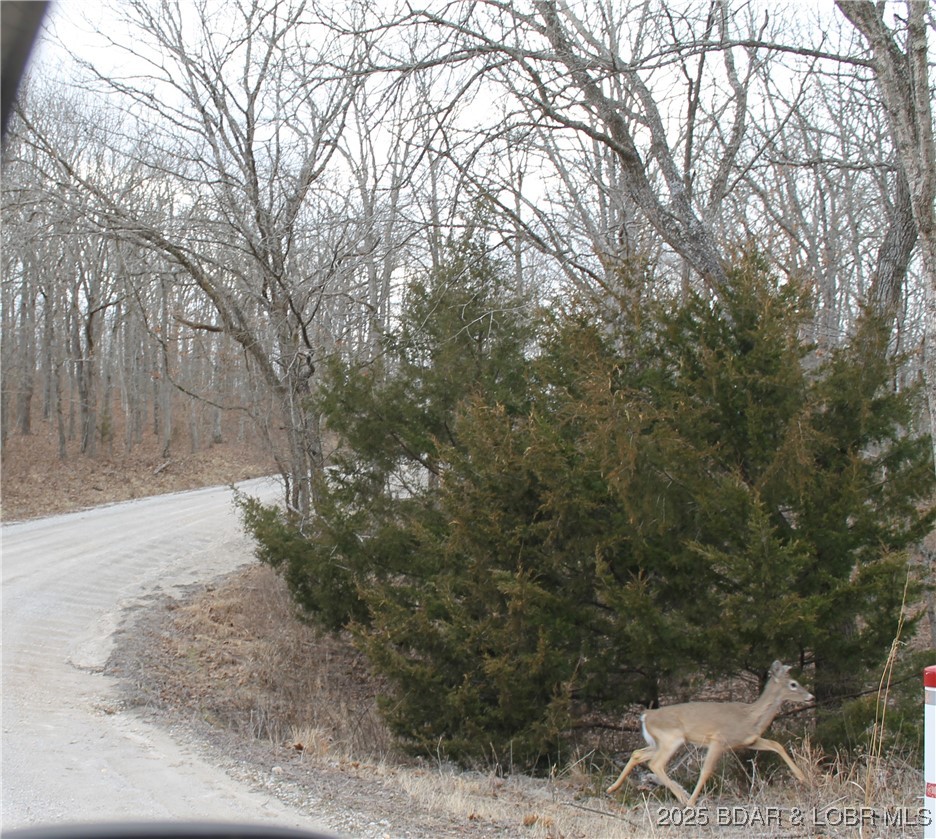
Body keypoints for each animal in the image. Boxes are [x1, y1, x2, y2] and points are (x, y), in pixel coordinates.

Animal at [606, 661, 813, 807]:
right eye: (793, 684)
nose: (811, 697)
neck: (750, 716)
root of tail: (646, 715)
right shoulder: (719, 740)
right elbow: (706, 771)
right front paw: (692, 801)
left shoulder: (748, 741)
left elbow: (776, 745)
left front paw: (804, 778)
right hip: (672, 738)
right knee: (655, 763)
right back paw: (684, 798)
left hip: (660, 742)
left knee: (638, 754)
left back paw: (611, 788)